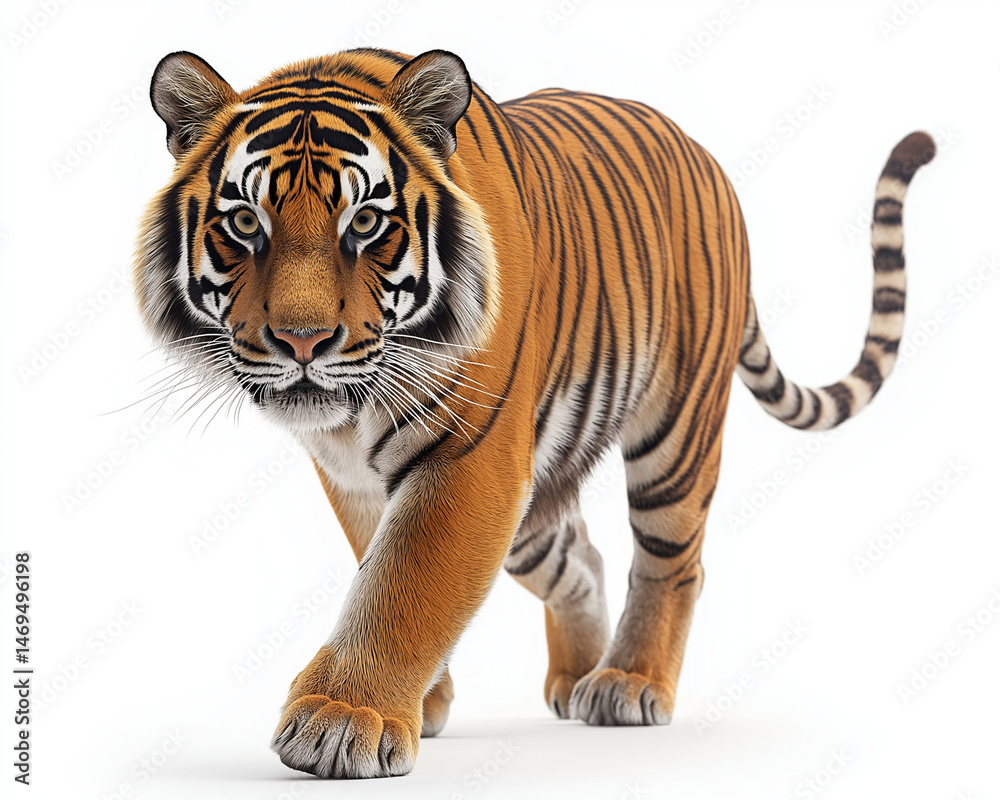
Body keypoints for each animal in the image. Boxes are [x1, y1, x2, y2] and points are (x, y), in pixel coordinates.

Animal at [134, 47, 934, 778]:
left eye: (365, 223)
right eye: (245, 223)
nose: (302, 340)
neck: (348, 421)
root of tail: (704, 154)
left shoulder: (469, 459)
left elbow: (403, 581)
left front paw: (342, 719)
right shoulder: (360, 479)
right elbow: (381, 565)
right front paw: (416, 704)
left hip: (676, 435)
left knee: (673, 561)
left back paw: (628, 682)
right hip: (530, 514)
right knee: (581, 558)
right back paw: (577, 675)